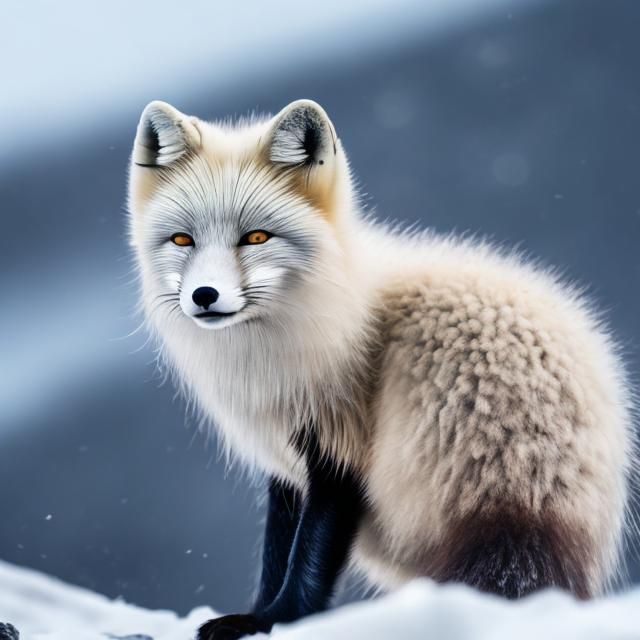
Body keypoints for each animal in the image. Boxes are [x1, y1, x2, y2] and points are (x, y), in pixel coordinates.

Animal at [127, 97, 632, 636]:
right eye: (182, 240)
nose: (204, 296)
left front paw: (276, 621)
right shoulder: (286, 460)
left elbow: (306, 561)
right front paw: (257, 613)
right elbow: (275, 553)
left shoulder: (338, 446)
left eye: (256, 237)